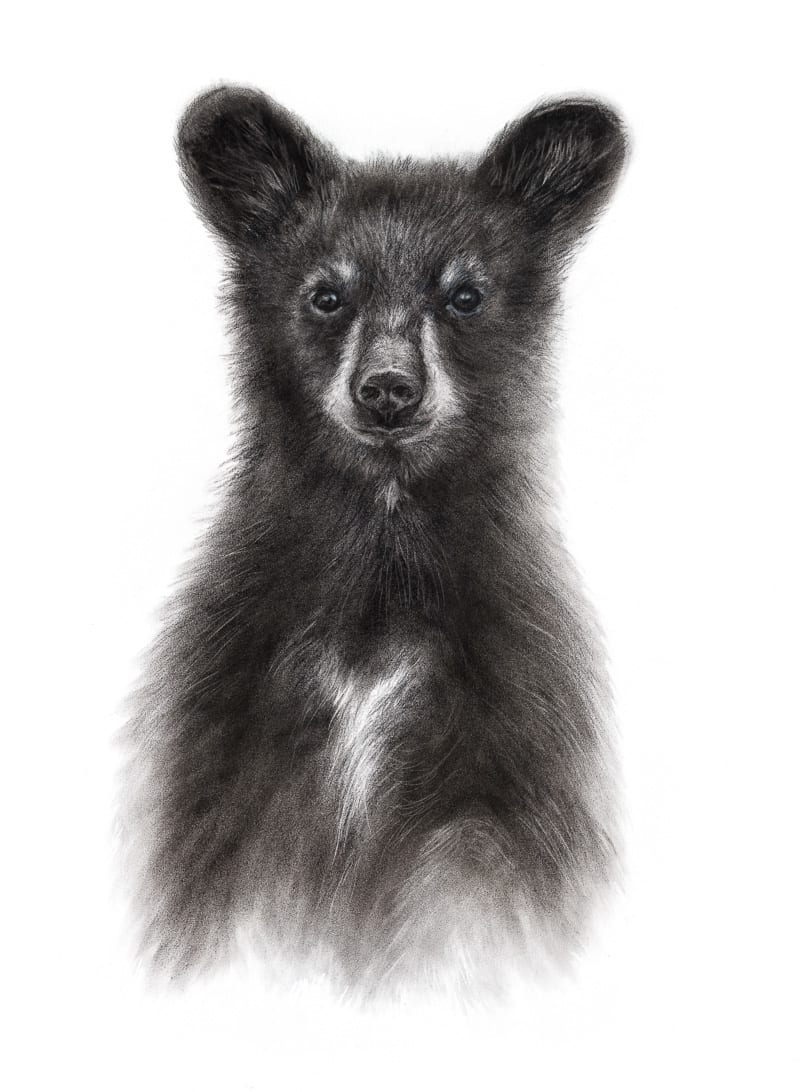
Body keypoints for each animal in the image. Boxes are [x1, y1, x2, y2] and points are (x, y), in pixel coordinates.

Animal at [121, 85, 628, 1000]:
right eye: (327, 296)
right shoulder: (229, 730)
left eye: (464, 295)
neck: (382, 555)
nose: (388, 390)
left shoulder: (512, 748)